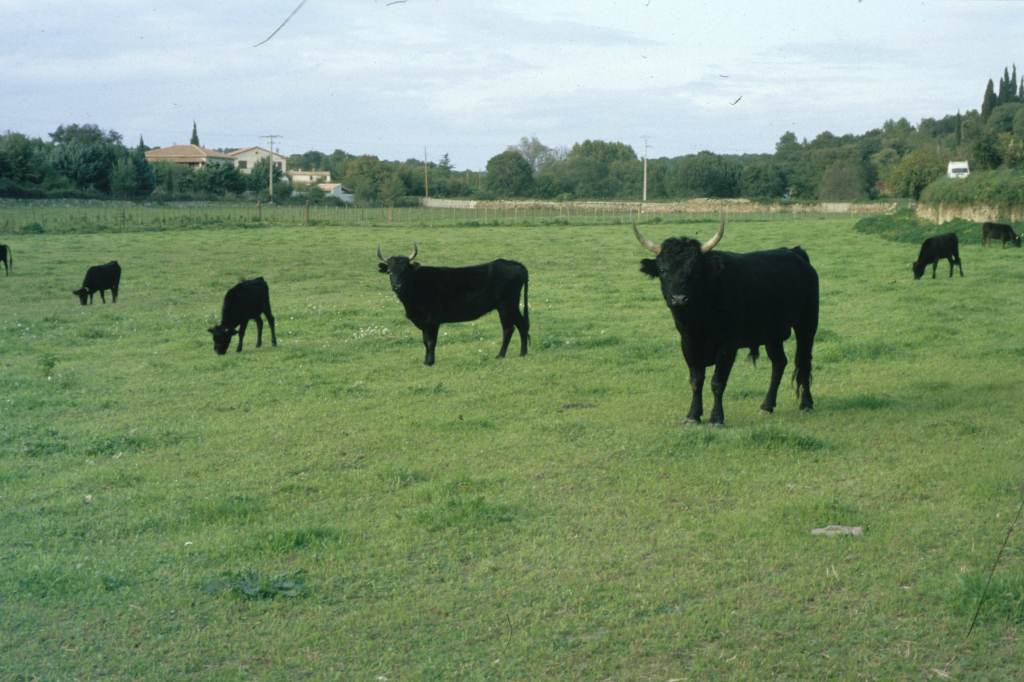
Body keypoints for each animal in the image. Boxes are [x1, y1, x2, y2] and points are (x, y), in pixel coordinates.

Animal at [378, 241, 536, 364]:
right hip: (510, 306)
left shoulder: (432, 320)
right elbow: (425, 341)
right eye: (390, 272)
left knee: (509, 328)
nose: (397, 286)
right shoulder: (424, 322)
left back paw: (501, 355)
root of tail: (513, 263)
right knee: (521, 325)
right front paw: (426, 361)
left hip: (506, 306)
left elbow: (430, 341)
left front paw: (430, 362)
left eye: (405, 271)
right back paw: (522, 353)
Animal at [634, 219, 819, 425]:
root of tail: (795, 252)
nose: (679, 299)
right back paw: (766, 406)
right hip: (773, 334)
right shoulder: (688, 345)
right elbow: (696, 380)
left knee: (803, 361)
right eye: (663, 270)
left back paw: (806, 403)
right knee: (779, 363)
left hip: (807, 326)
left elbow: (717, 382)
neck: (698, 322)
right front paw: (692, 415)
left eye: (695, 271)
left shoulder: (727, 346)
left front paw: (716, 418)